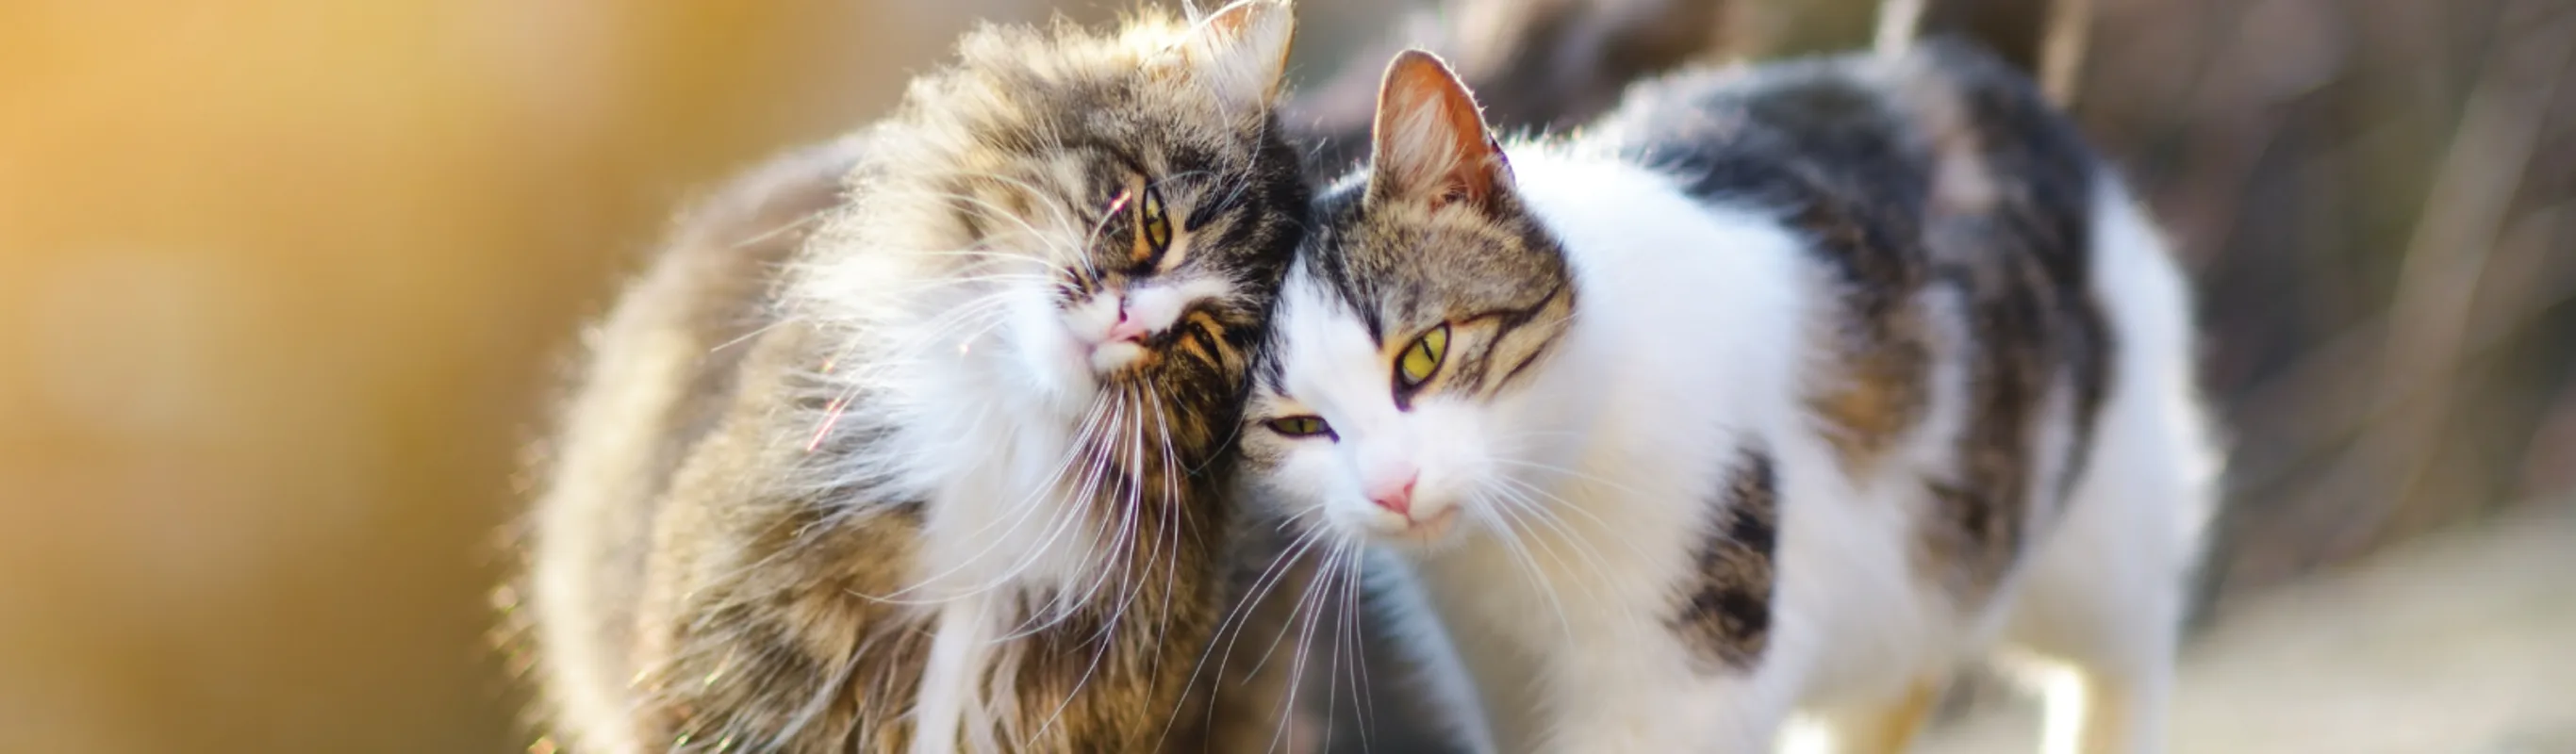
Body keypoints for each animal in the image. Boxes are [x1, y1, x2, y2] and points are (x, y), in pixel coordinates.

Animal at [1241, 42, 2215, 751]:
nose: (1392, 489)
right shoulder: (1500, 677)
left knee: (2125, 646)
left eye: (1424, 354)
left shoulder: (1683, 676)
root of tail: (1950, 61)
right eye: (1297, 426)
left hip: (2094, 525)